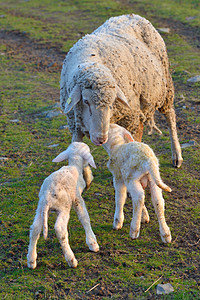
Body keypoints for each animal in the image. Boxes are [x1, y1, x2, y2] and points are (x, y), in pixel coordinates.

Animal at [59, 13, 183, 169]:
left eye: (112, 103)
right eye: (85, 101)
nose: (101, 139)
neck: (91, 63)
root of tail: (132, 15)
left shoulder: (129, 117)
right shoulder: (75, 123)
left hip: (165, 88)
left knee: (170, 116)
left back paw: (177, 155)